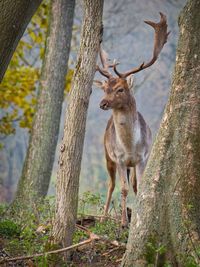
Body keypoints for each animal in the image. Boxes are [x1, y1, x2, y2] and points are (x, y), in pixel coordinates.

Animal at [94, 12, 170, 226]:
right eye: (105, 88)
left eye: (120, 89)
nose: (102, 103)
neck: (130, 146)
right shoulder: (119, 158)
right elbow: (123, 188)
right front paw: (123, 222)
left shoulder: (143, 157)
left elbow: (139, 187)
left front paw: (135, 218)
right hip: (107, 156)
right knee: (111, 185)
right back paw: (104, 217)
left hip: (130, 164)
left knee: (131, 184)